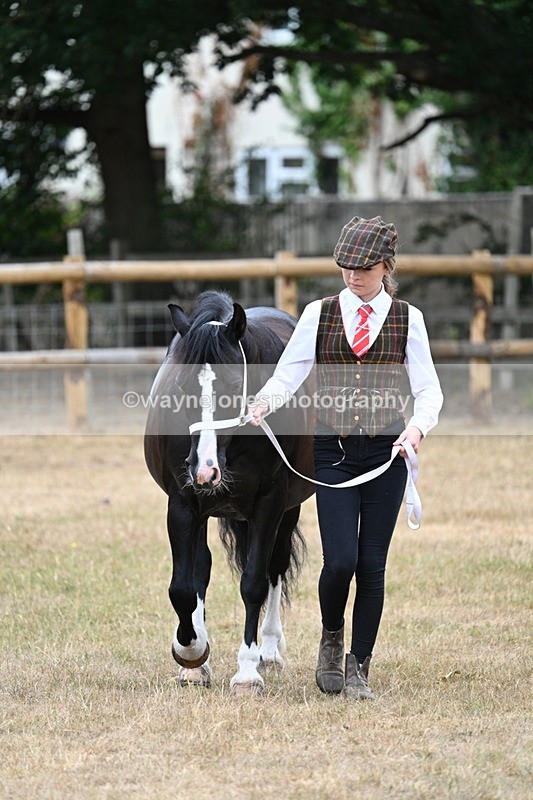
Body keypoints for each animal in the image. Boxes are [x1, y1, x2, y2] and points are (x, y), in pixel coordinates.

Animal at [144, 290, 315, 694]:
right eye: (181, 388)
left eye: (235, 386)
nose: (204, 469)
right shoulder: (183, 504)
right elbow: (183, 586)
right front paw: (191, 655)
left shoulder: (270, 504)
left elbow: (253, 583)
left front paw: (248, 671)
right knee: (202, 569)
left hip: (288, 511)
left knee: (274, 568)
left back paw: (269, 651)